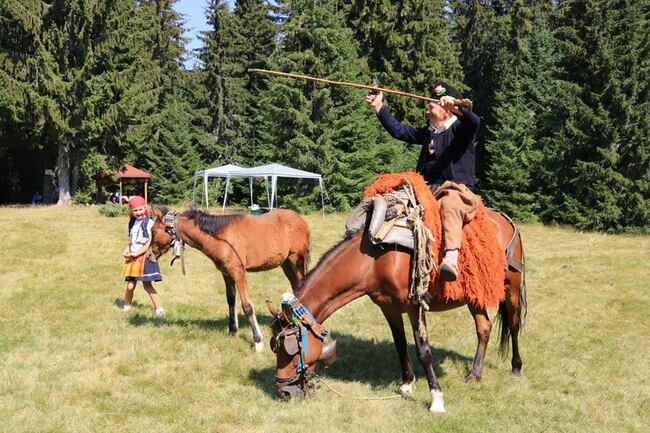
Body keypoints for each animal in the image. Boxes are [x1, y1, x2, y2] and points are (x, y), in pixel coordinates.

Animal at [149, 207, 308, 352]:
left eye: (154, 231)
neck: (222, 238)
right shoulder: (226, 273)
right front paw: (232, 331)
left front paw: (257, 341)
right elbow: (231, 300)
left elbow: (247, 306)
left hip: (296, 261)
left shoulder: (238, 273)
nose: (149, 255)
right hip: (286, 264)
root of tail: (300, 219)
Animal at [266, 209, 524, 412]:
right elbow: (400, 345)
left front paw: (436, 399)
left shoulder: (415, 307)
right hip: (474, 296)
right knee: (484, 328)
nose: (284, 392)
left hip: (510, 288)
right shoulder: (388, 308)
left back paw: (516, 367)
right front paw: (407, 385)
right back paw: (474, 374)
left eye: (291, 349)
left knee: (513, 324)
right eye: (274, 347)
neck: (376, 260)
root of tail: (505, 220)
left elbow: (423, 351)